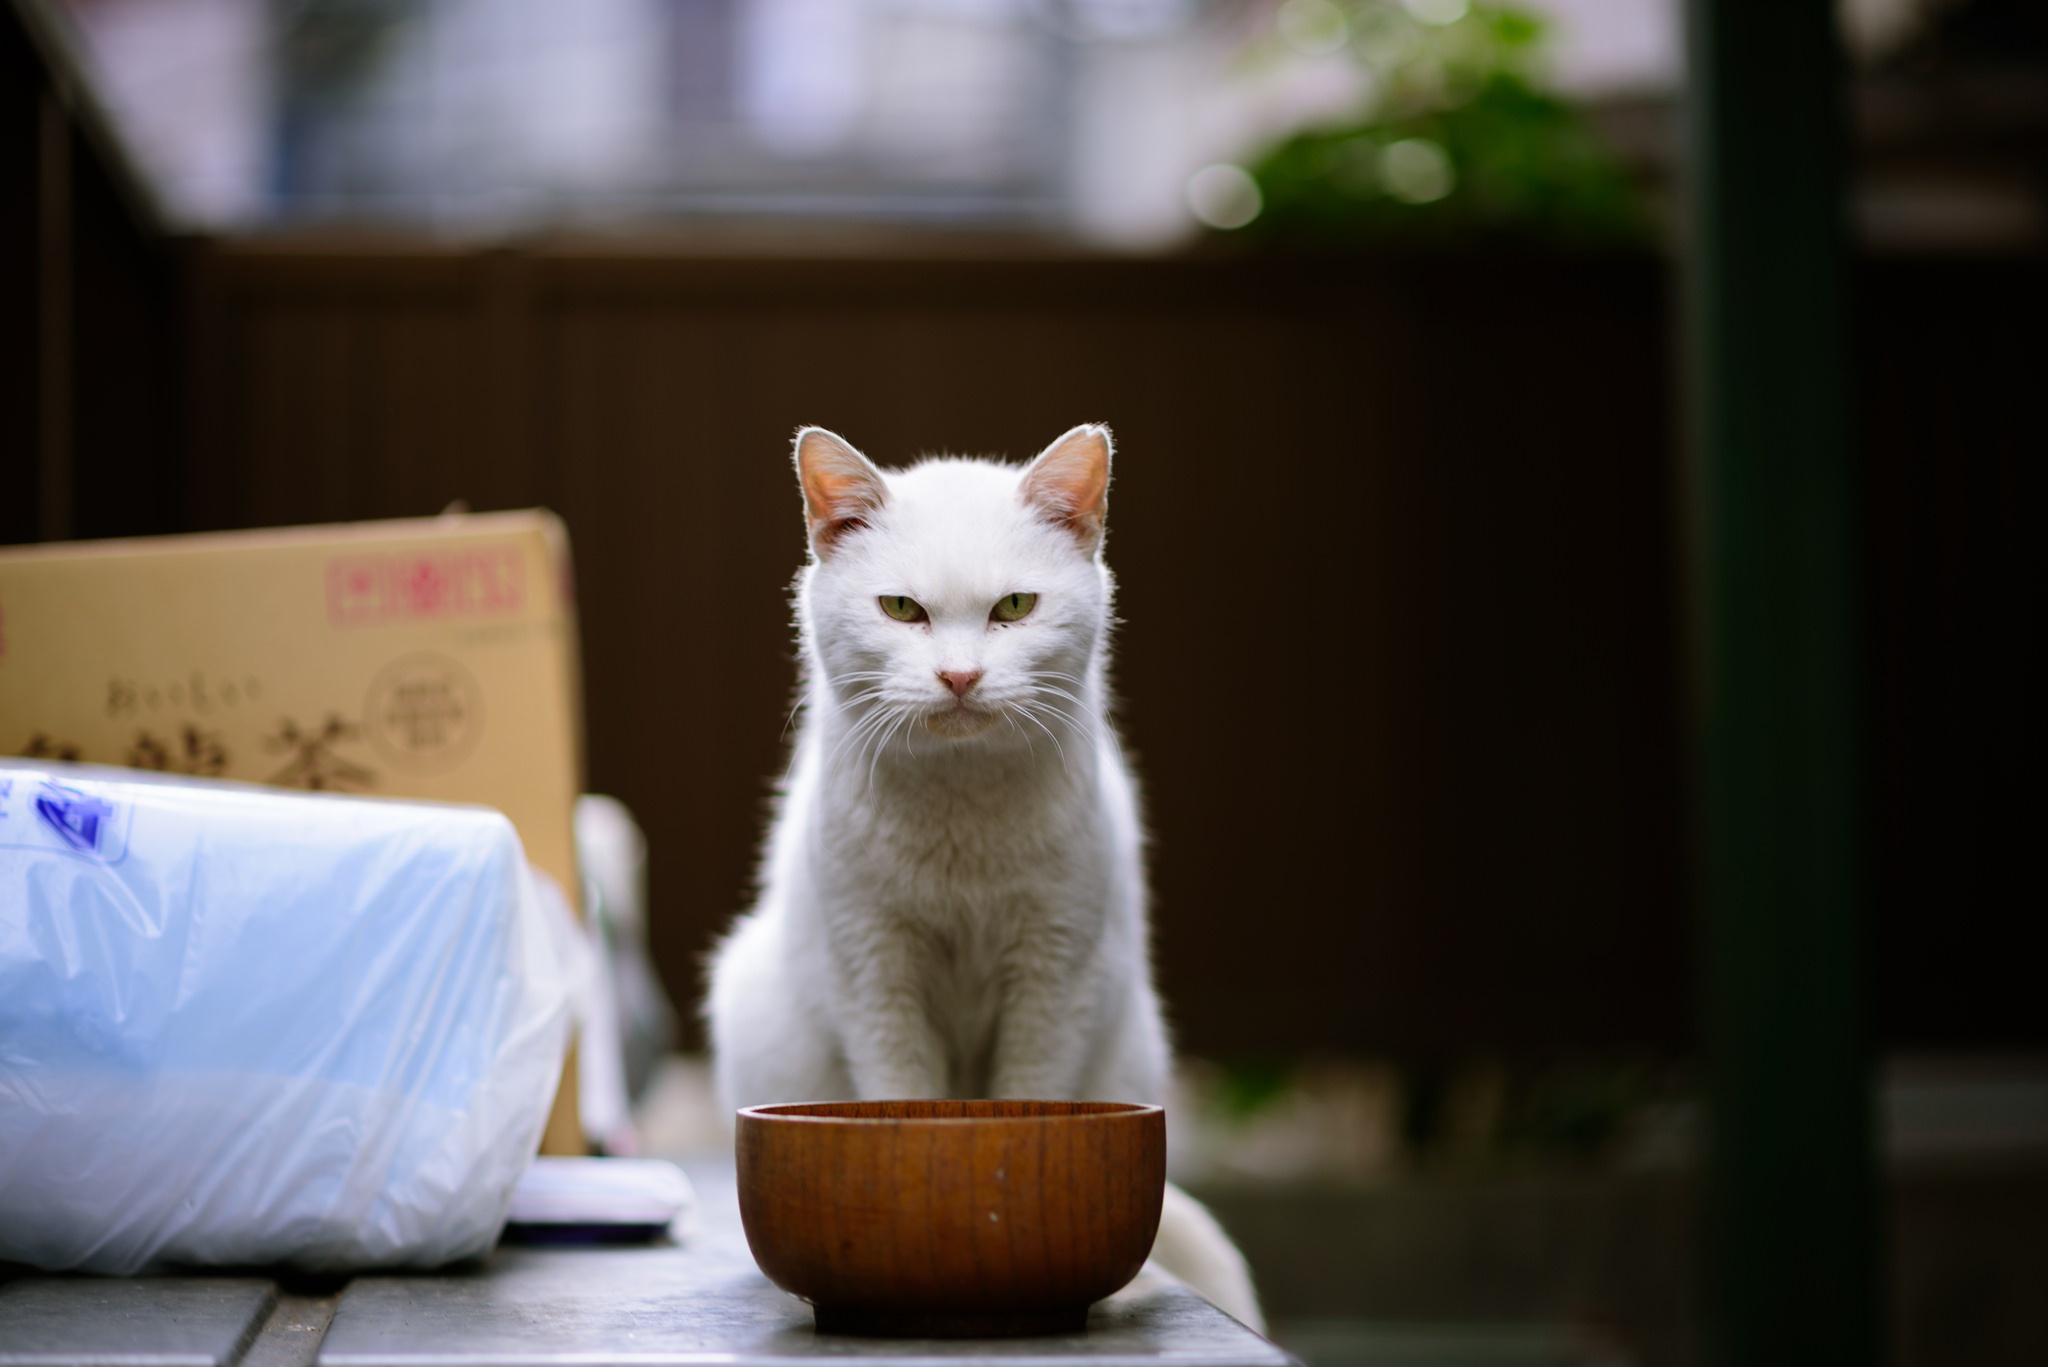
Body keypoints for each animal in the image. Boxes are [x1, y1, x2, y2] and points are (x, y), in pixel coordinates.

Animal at [712, 422, 1269, 1328]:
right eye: (902, 609)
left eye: (1013, 607)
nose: (960, 676)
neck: (962, 815)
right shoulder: (875, 972)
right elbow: (898, 1095)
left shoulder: (1055, 976)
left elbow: (1033, 1092)